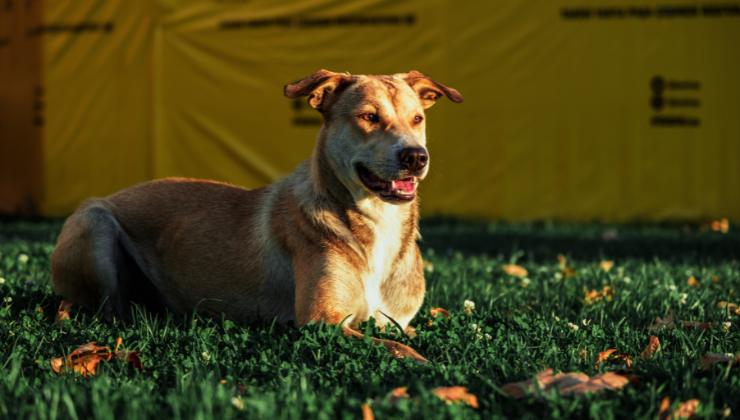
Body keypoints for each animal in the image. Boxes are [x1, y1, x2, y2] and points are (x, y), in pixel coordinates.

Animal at [50, 69, 462, 360]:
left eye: (417, 119)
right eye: (369, 117)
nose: (415, 157)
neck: (375, 220)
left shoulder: (396, 322)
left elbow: (401, 336)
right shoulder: (321, 320)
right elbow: (398, 348)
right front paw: (425, 363)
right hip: (93, 222)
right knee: (100, 309)